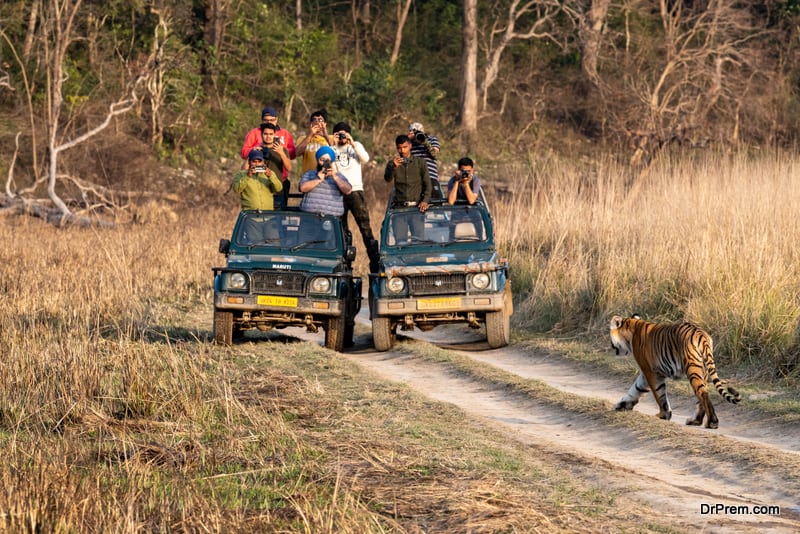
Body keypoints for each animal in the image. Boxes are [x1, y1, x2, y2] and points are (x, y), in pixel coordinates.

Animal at [608, 316, 740, 430]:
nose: (611, 346)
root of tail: (701, 334)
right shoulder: (647, 373)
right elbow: (636, 388)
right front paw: (622, 405)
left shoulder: (651, 371)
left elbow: (659, 394)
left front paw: (663, 415)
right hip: (704, 370)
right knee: (703, 395)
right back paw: (695, 421)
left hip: (693, 368)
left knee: (702, 393)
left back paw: (712, 422)